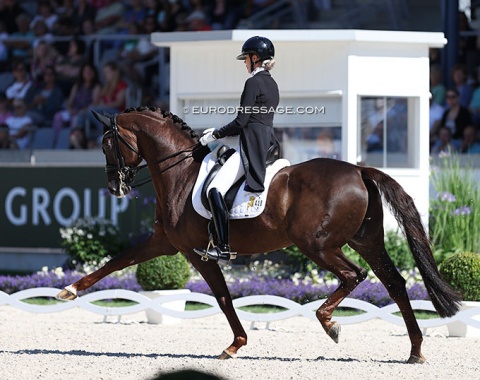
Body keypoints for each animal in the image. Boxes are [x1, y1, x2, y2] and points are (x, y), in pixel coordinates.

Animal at [57, 107, 462, 366]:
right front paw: (70, 290)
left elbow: (222, 298)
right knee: (394, 283)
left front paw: (235, 345)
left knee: (353, 275)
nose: (115, 187)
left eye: (107, 144)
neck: (180, 173)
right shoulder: (166, 243)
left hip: (317, 244)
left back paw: (329, 323)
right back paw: (415, 350)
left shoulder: (195, 251)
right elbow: (117, 261)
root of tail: (360, 170)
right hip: (366, 240)